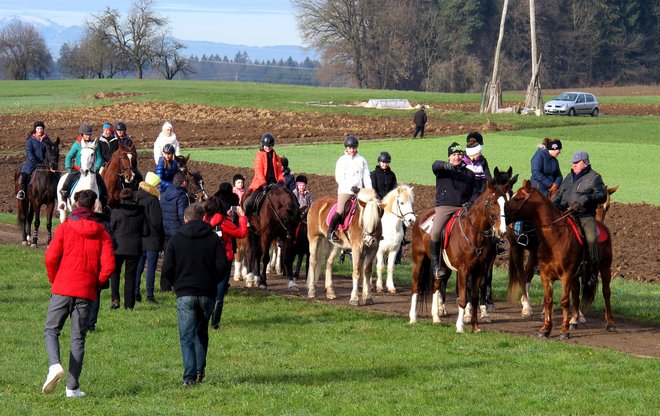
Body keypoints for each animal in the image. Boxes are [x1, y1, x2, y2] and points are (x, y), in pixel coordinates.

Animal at [408, 179, 510, 334]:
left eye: (506, 203)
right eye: (493, 203)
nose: (502, 230)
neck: (473, 233)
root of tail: (421, 217)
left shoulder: (479, 270)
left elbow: (474, 297)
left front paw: (475, 326)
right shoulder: (463, 270)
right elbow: (462, 298)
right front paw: (460, 326)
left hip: (443, 267)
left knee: (436, 286)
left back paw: (436, 318)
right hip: (418, 259)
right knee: (415, 287)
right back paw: (413, 318)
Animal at [506, 180, 612, 340]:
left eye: (517, 198)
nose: (501, 214)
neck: (555, 236)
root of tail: (602, 226)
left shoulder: (566, 275)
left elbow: (564, 301)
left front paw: (564, 330)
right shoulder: (546, 276)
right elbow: (548, 301)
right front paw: (545, 329)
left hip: (605, 269)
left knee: (606, 292)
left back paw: (610, 323)